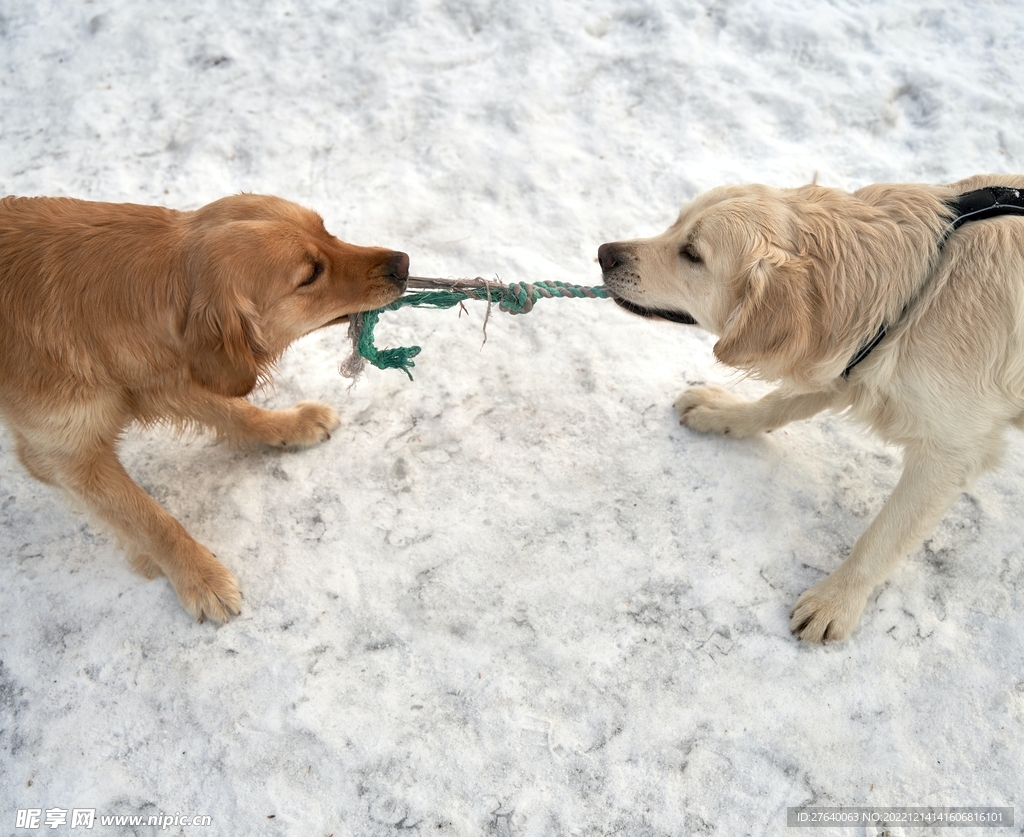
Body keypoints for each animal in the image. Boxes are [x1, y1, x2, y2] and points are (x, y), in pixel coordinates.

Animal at [1, 190, 407, 618]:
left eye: (326, 230)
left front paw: (290, 425)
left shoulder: (174, 375)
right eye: (311, 274)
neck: (105, 308)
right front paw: (201, 578)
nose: (404, 263)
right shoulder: (64, 457)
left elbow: (236, 410)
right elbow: (150, 520)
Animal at [598, 176, 1024, 643]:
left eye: (693, 254)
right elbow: (774, 405)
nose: (603, 253)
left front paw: (835, 601)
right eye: (675, 224)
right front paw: (724, 414)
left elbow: (882, 536)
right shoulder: (845, 360)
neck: (913, 296)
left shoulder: (951, 451)